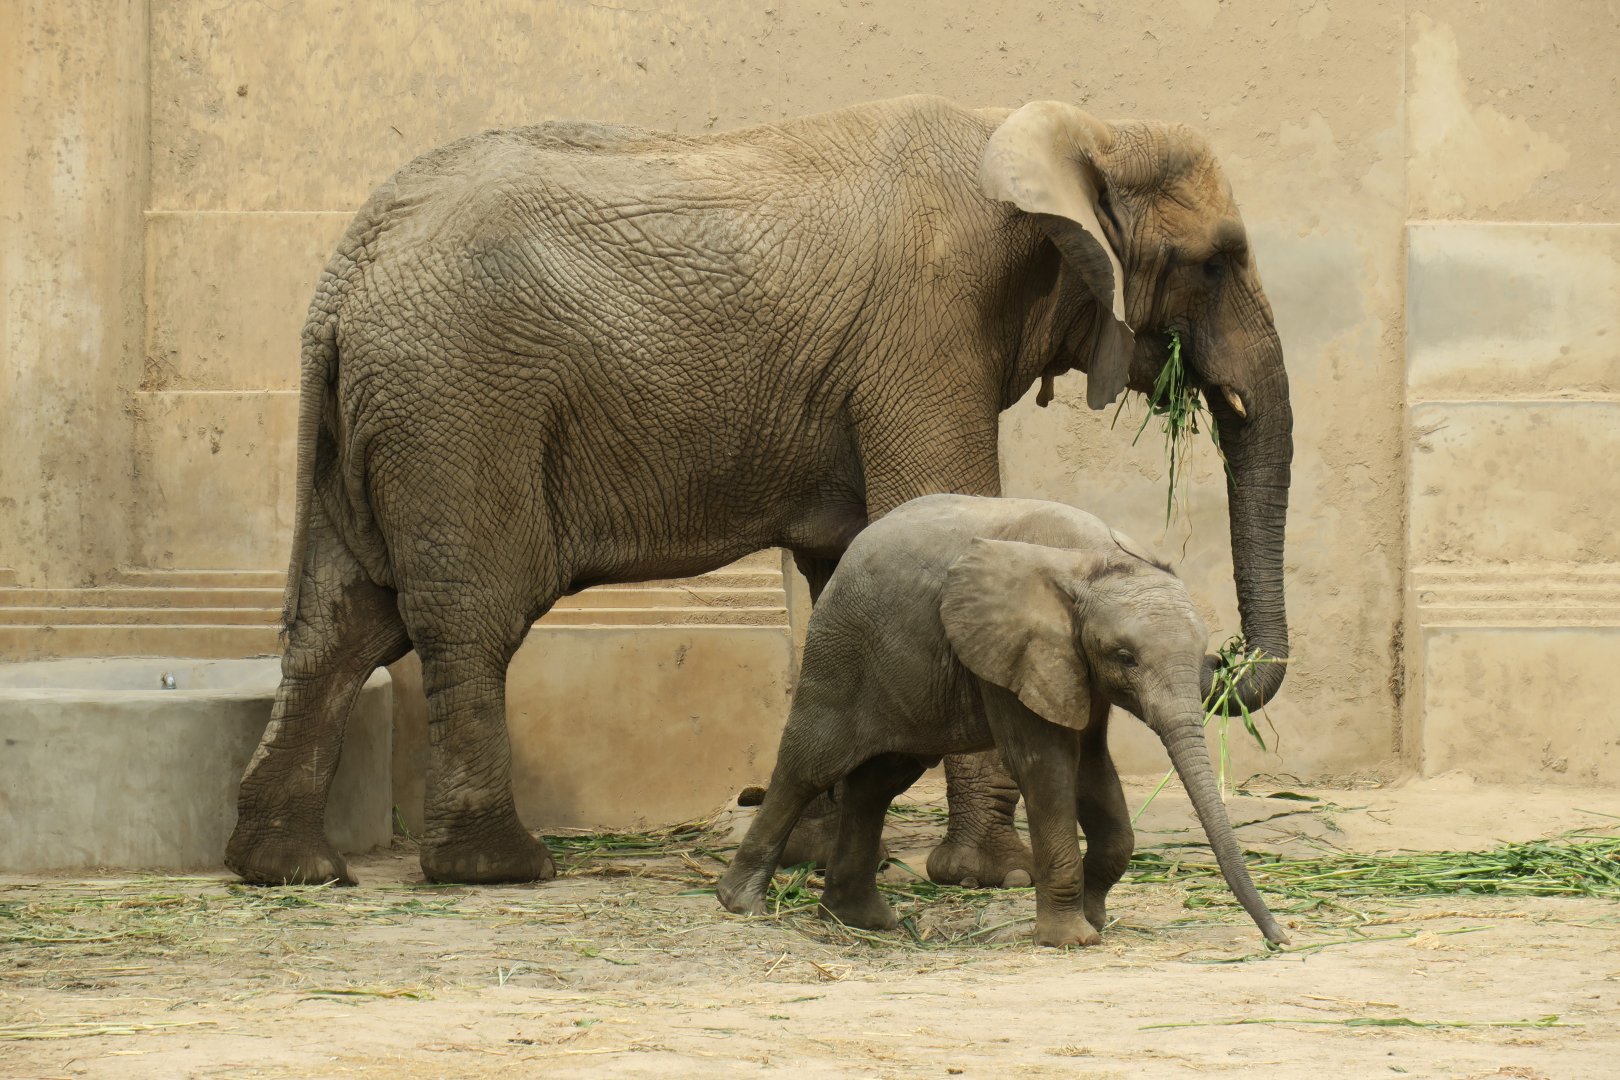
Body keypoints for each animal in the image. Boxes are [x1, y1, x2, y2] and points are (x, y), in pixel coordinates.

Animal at [223, 94, 1292, 888]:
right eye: (1214, 262)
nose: (1226, 659)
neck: (1075, 127)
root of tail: (337, 284)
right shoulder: (929, 323)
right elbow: (935, 510)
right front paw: (987, 876)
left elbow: (844, 569)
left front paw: (822, 855)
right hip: (459, 408)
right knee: (466, 621)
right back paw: (499, 869)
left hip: (377, 425)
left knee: (338, 625)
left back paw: (288, 869)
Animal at [717, 494, 1289, 948]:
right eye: (1124, 656)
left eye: (1200, 656)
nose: (1279, 939)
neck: (1093, 562)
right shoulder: (1014, 649)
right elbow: (1046, 765)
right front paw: (1074, 940)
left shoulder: (1069, 665)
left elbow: (1092, 767)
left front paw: (1095, 920)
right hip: (842, 645)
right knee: (811, 764)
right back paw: (741, 904)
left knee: (879, 781)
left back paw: (862, 922)